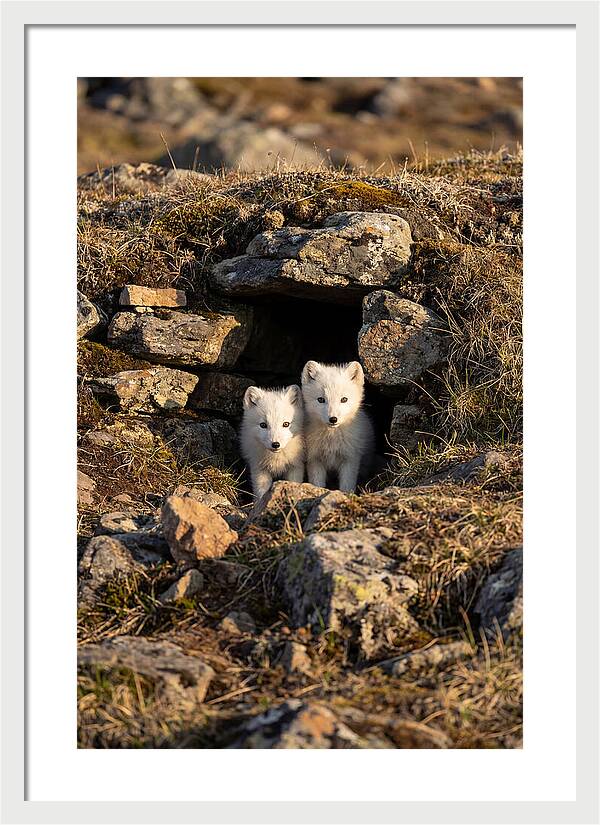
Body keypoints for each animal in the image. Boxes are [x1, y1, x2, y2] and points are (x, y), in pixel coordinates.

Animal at [301, 360, 375, 492]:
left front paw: (347, 495)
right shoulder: (314, 459)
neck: (331, 440)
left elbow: (347, 486)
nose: (333, 419)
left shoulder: (350, 459)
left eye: (344, 399)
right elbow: (317, 483)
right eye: (321, 399)